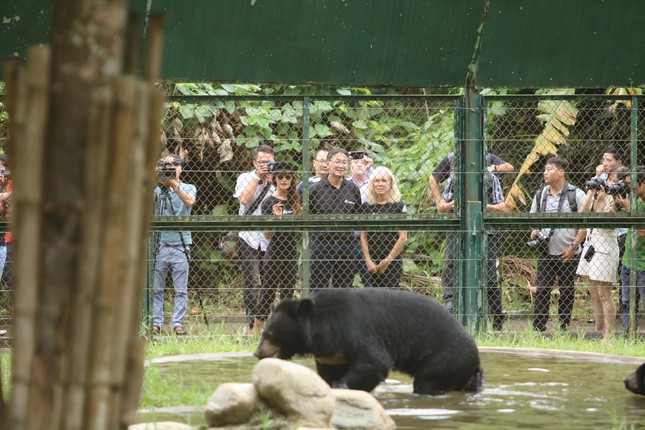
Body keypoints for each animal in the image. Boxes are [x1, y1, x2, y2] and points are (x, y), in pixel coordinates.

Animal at [254, 288, 480, 394]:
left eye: (269, 334)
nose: (257, 353)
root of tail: (476, 357)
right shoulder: (331, 354)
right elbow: (328, 373)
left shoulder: (355, 331)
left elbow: (374, 362)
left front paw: (341, 387)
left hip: (444, 360)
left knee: (426, 382)